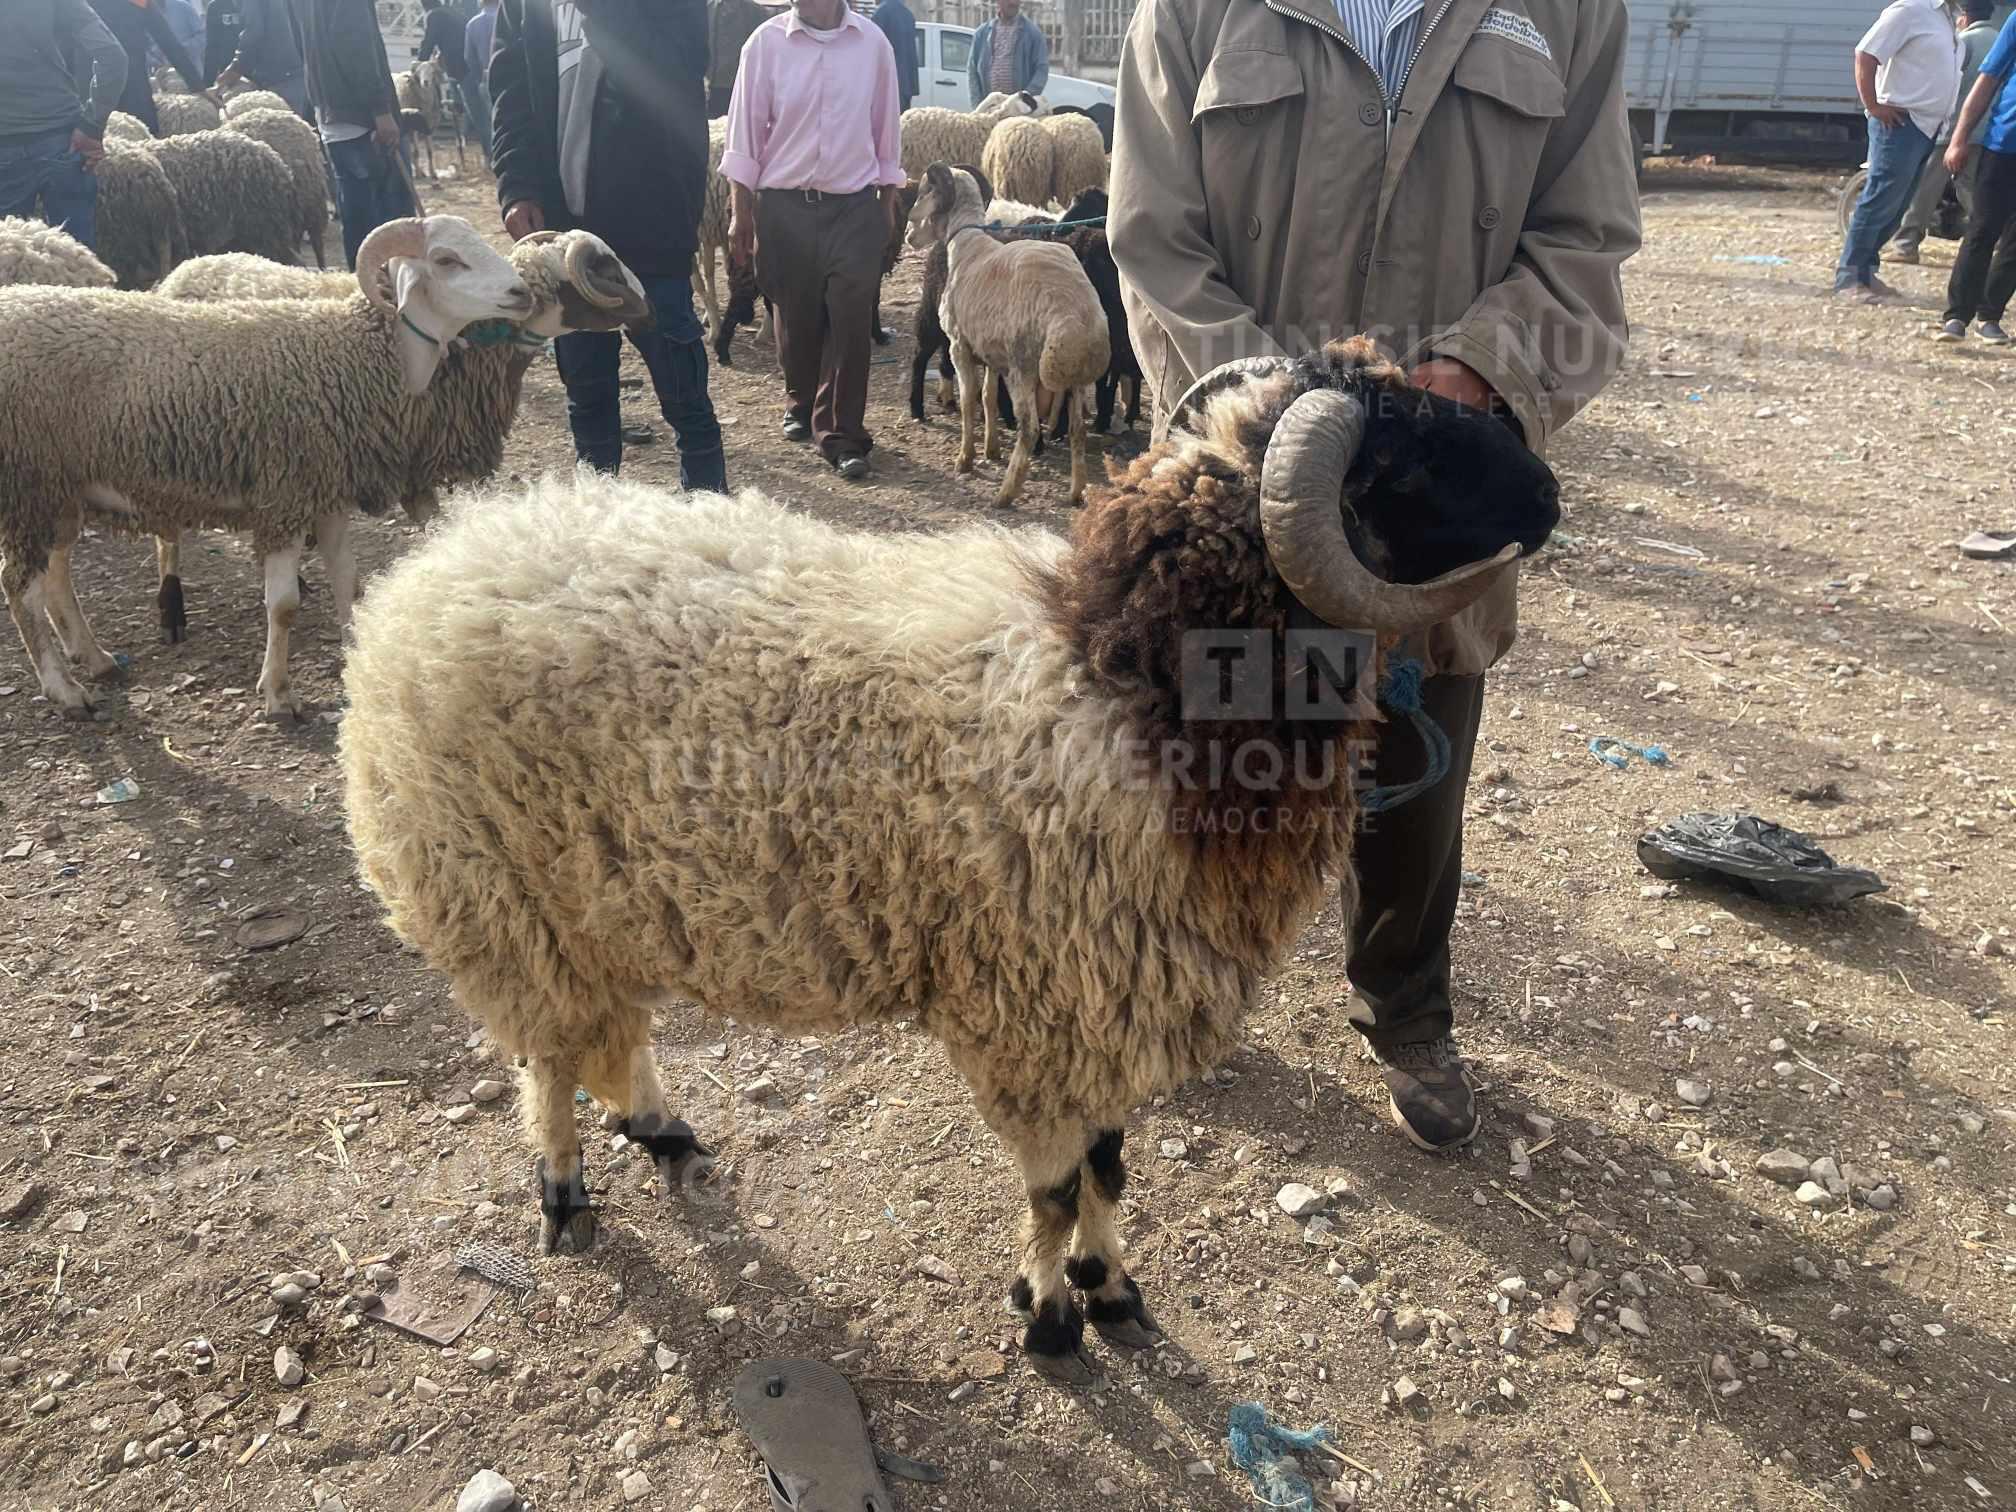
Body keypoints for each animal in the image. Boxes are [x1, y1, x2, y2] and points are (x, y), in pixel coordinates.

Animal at [0, 218, 645, 721]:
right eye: (446, 259)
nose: (516, 293)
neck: (356, 355)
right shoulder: (287, 496)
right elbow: (282, 607)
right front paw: (278, 695)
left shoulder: (330, 493)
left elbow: (348, 582)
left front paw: (357, 649)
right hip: (27, 483)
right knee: (20, 586)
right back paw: (67, 688)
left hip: (61, 489)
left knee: (56, 576)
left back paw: (96, 658)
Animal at [334, 340, 1556, 1387]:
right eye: (1405, 454)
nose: (1546, 494)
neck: (1128, 684)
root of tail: (427, 571)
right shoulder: (1037, 1012)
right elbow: (1055, 1187)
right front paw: (1051, 1317)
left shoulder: (1099, 1006)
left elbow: (1109, 1165)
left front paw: (1111, 1288)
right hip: (499, 897)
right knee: (546, 1053)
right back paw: (563, 1191)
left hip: (597, 895)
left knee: (603, 1030)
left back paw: (660, 1127)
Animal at [911, 164, 1104, 510]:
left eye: (923, 191)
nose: (909, 231)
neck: (966, 244)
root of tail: (1072, 313)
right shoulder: (990, 353)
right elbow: (988, 397)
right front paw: (991, 450)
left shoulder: (961, 346)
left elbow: (969, 400)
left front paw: (966, 459)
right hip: (1077, 378)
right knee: (1078, 430)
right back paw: (1076, 491)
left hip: (1023, 370)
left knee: (1029, 428)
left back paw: (1006, 493)